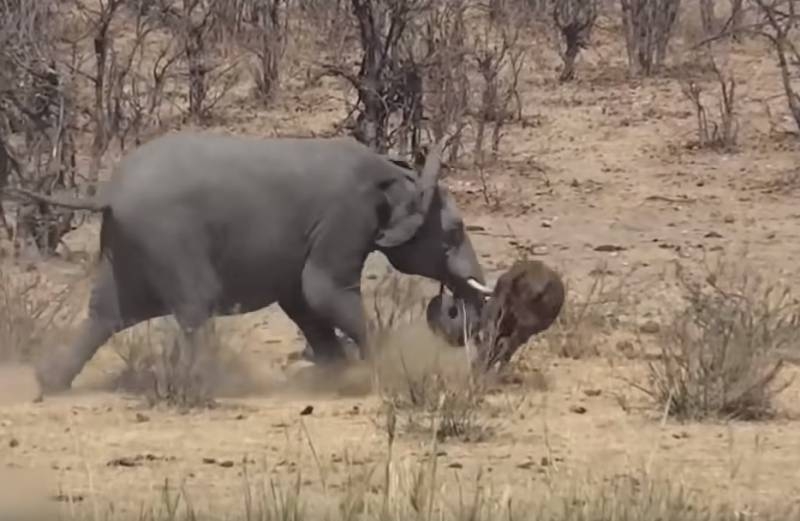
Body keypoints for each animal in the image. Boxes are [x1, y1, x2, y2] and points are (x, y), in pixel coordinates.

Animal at [9, 131, 494, 394]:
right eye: (455, 232)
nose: (450, 304)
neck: (394, 172)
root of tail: (106, 193)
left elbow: (303, 302)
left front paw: (334, 375)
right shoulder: (345, 218)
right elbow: (322, 291)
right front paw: (376, 370)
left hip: (125, 243)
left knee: (106, 313)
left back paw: (50, 383)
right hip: (167, 237)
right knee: (194, 304)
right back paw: (207, 384)